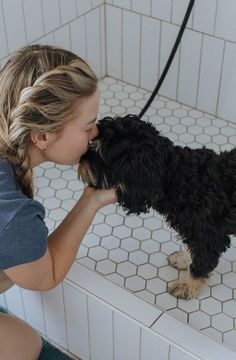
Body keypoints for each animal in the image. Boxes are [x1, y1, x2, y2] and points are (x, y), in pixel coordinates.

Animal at [79, 115, 236, 298]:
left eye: (101, 154)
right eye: (94, 142)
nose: (81, 158)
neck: (177, 177)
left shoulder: (209, 236)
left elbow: (201, 265)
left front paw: (187, 285)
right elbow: (192, 250)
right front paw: (184, 259)